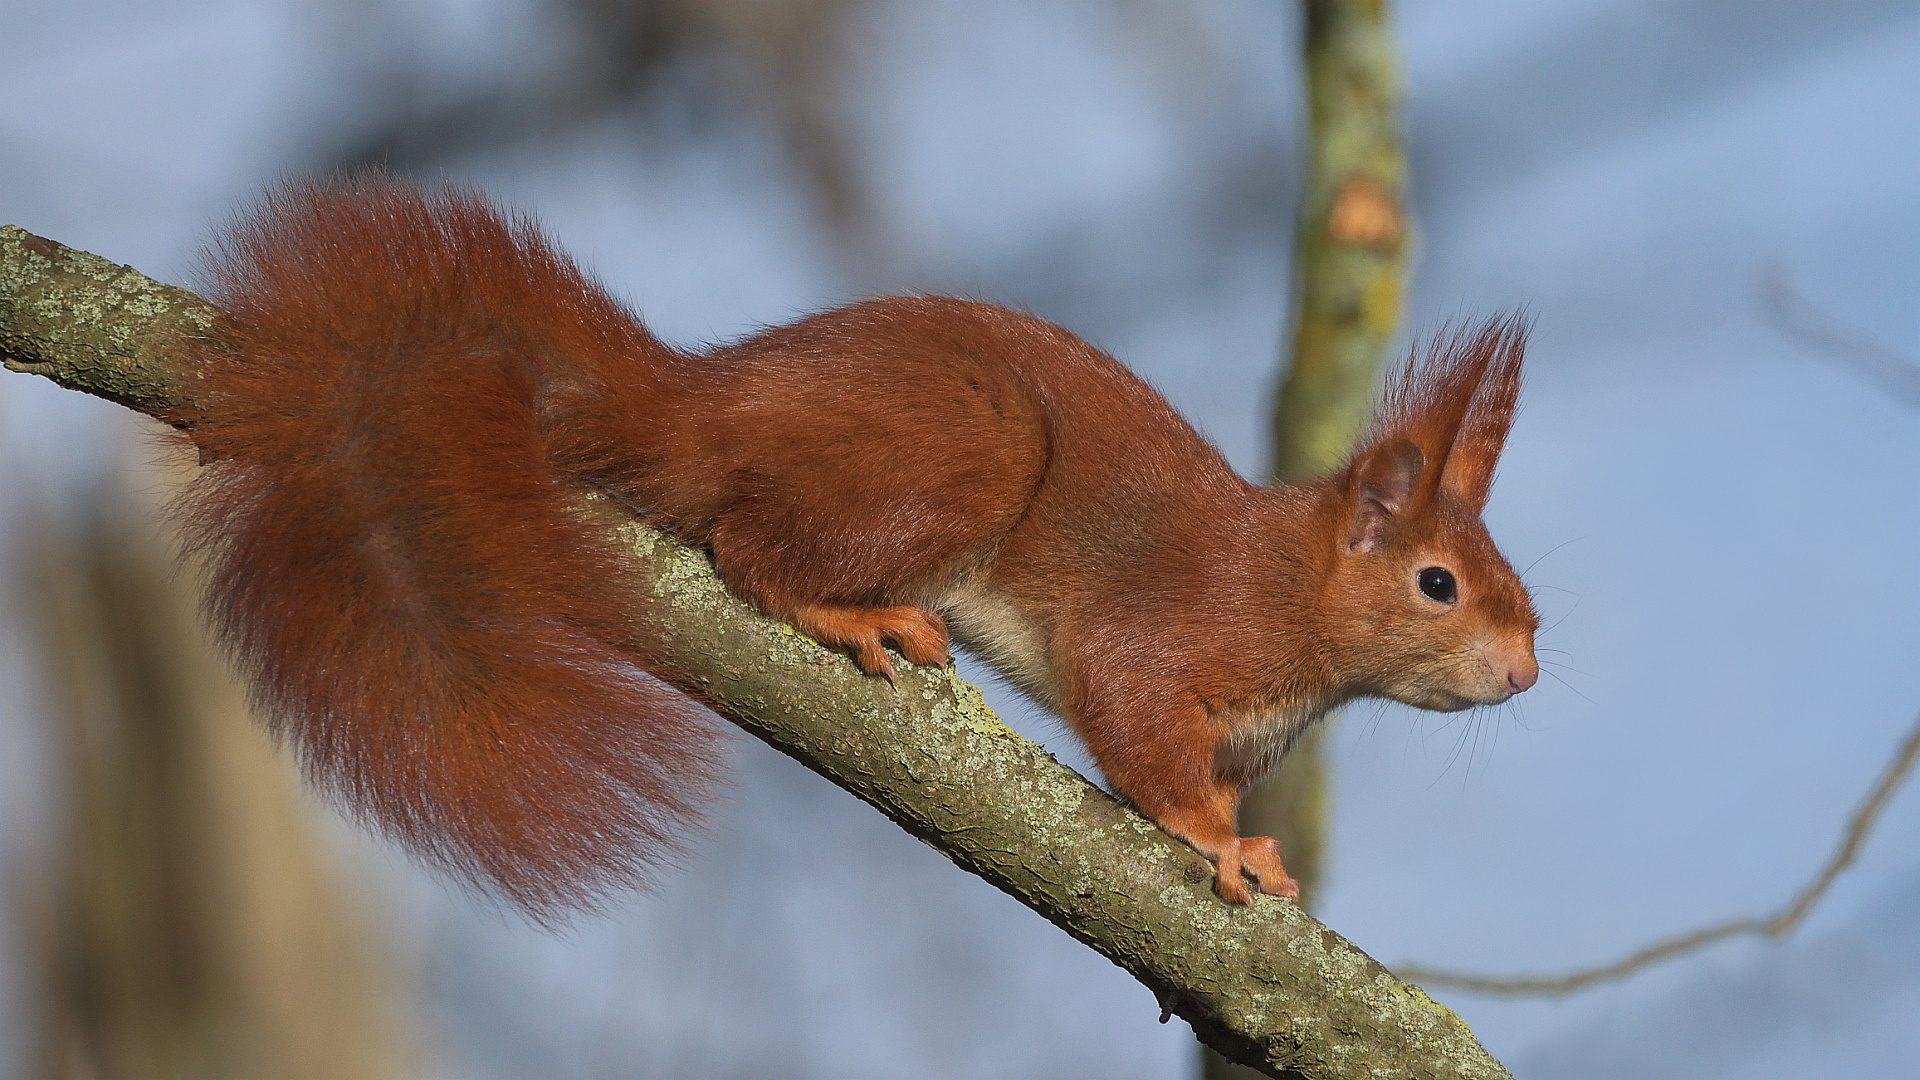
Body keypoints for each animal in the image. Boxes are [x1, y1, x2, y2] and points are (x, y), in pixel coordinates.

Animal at [165, 174, 1543, 907]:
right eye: (1437, 583)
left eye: (1519, 592)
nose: (1526, 671)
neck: (1293, 598)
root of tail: (703, 404)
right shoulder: (1169, 625)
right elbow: (1137, 725)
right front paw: (1218, 841)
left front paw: (1242, 831)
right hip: (964, 453)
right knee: (745, 545)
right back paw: (846, 608)